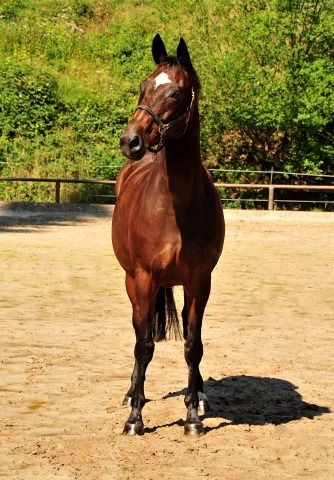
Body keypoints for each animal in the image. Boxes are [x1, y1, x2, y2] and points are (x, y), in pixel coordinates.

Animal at [111, 35, 224, 436]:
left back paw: (200, 395)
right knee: (137, 333)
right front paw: (135, 418)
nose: (130, 141)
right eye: (143, 86)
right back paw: (133, 393)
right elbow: (143, 345)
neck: (177, 205)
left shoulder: (200, 281)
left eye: (176, 93)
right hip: (132, 282)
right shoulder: (144, 278)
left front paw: (192, 416)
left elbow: (193, 346)